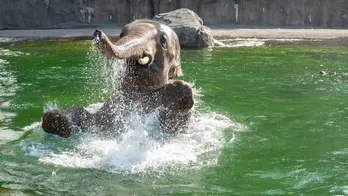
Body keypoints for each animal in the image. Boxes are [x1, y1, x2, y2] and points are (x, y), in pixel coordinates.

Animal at [41, 19, 194, 138]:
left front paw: (182, 89)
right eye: (122, 33)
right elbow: (84, 116)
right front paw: (55, 118)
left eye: (163, 41)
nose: (98, 33)